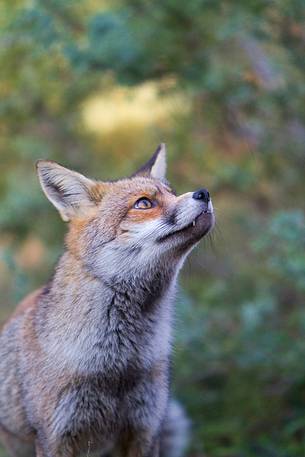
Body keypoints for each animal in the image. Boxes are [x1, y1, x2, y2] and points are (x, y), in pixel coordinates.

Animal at [0, 145, 214, 456]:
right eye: (144, 203)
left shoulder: (144, 427)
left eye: (172, 193)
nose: (204, 193)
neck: (118, 364)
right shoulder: (56, 435)